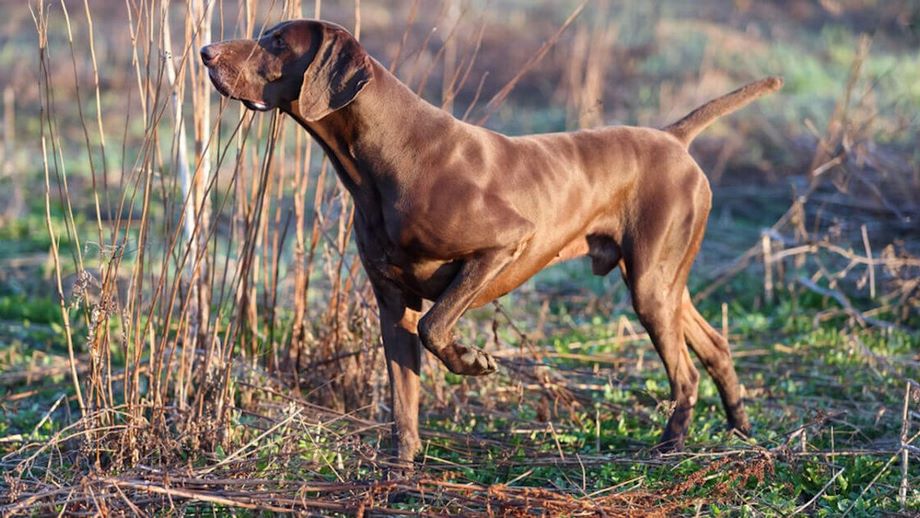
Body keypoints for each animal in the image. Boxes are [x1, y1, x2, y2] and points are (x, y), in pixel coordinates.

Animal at [203, 19, 784, 464]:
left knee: (684, 372)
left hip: (649, 286)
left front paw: (472, 360)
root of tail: (672, 137)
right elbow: (403, 403)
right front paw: (400, 473)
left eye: (279, 42)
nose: (206, 52)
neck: (387, 155)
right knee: (715, 345)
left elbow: (437, 327)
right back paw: (740, 431)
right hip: (662, 282)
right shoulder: (392, 304)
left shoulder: (504, 246)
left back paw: (668, 449)